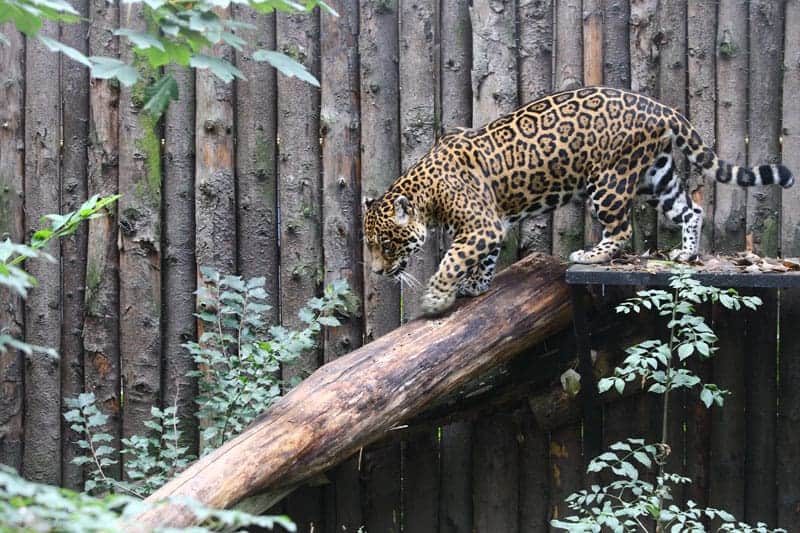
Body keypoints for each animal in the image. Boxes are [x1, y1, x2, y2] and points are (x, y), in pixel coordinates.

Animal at [362, 86, 795, 316]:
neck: (426, 193)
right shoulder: (492, 226)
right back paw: (687, 254)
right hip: (655, 177)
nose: (378, 272)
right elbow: (482, 260)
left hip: (608, 183)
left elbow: (453, 259)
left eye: (386, 244)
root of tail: (662, 106)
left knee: (621, 230)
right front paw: (475, 286)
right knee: (691, 209)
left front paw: (436, 297)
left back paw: (589, 256)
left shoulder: (480, 226)